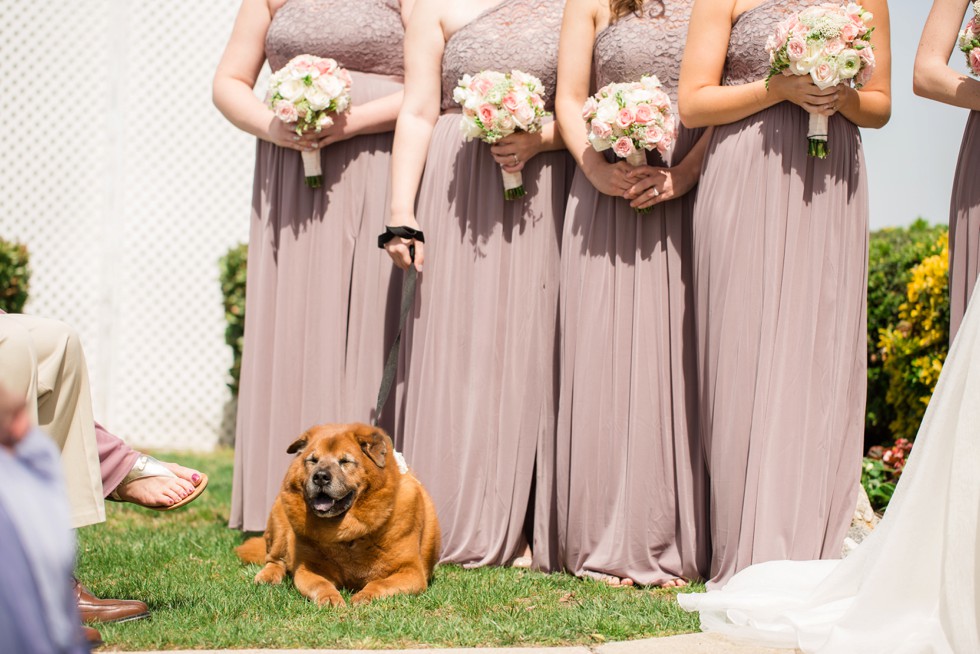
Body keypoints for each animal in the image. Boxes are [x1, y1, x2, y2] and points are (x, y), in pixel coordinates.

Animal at [235, 422, 438, 608]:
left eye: (345, 461)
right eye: (313, 460)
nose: (320, 476)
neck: (348, 536)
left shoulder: (411, 571)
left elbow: (381, 583)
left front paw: (364, 596)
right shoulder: (307, 568)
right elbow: (320, 583)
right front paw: (330, 599)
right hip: (279, 522)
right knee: (274, 560)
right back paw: (267, 577)